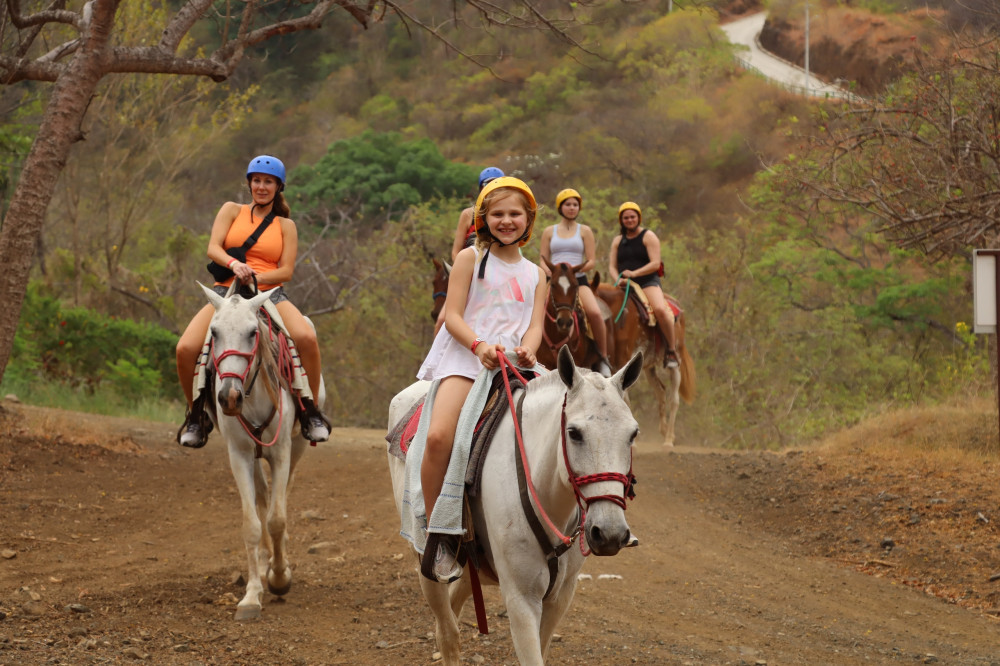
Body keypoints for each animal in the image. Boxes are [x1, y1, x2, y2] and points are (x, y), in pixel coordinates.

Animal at [195, 282, 320, 620]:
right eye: (214, 332)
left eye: (252, 332)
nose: (229, 397)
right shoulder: (238, 454)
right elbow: (251, 523)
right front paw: (252, 594)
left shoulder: (281, 451)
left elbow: (277, 519)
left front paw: (279, 577)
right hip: (253, 457)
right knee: (263, 497)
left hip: (297, 447)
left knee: (282, 495)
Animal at [386, 344, 644, 660]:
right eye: (574, 433)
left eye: (633, 434)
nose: (609, 533)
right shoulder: (522, 599)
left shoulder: (560, 596)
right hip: (425, 559)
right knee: (447, 633)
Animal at [592, 282, 696, 448]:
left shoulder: (623, 361)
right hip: (649, 368)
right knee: (661, 392)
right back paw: (664, 431)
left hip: (676, 365)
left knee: (674, 400)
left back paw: (668, 439)